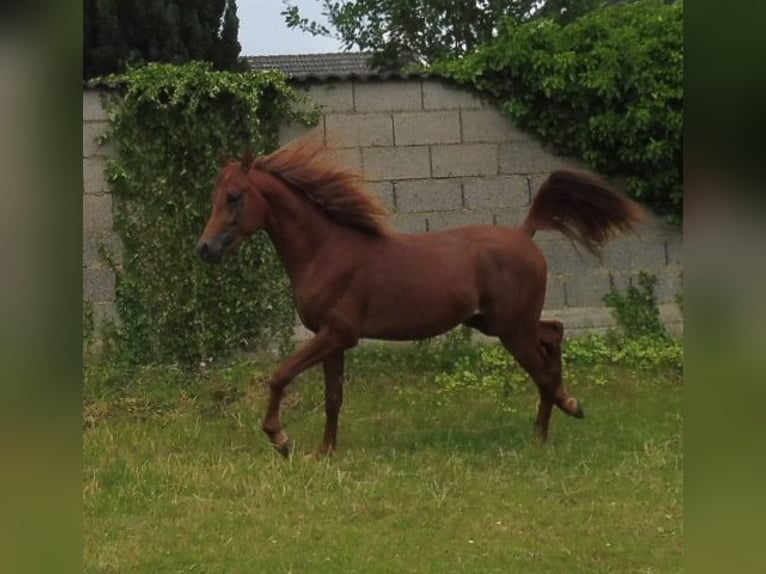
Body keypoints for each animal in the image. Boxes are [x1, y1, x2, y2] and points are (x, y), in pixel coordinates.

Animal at [197, 134, 643, 457]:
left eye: (234, 197)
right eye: (214, 197)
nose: (205, 249)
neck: (326, 250)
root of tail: (524, 233)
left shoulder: (337, 334)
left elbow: (280, 375)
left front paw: (281, 439)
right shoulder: (332, 339)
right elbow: (333, 398)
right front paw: (323, 453)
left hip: (511, 328)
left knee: (544, 368)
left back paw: (552, 424)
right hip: (495, 321)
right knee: (554, 335)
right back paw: (557, 417)